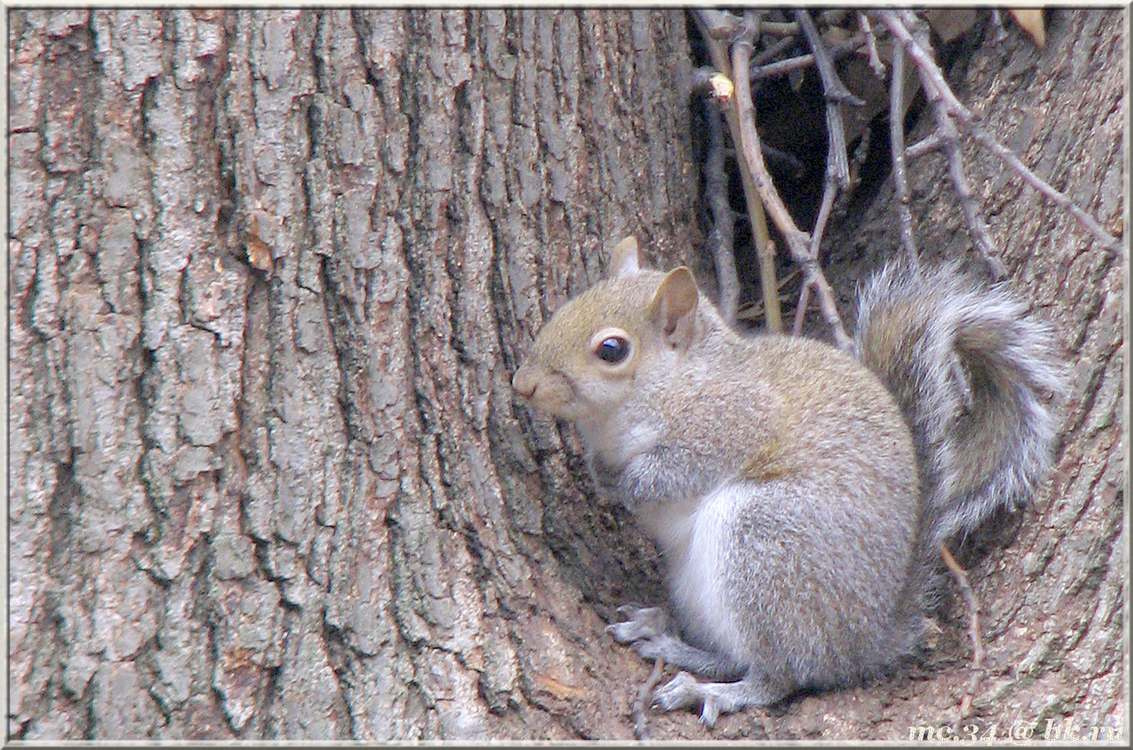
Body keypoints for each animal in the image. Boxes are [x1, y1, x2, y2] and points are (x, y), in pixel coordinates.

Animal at [511, 236, 1063, 726]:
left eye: (611, 349)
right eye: (564, 308)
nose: (522, 384)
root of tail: (869, 638)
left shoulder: (732, 421)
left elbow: (678, 470)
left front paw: (629, 483)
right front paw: (601, 473)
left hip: (766, 543)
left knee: (781, 674)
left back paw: (713, 690)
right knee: (735, 653)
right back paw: (664, 634)